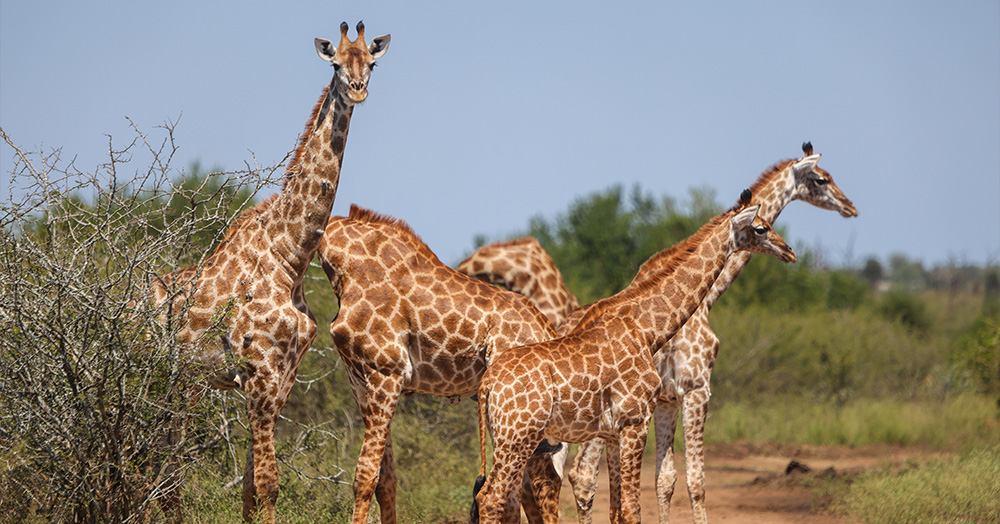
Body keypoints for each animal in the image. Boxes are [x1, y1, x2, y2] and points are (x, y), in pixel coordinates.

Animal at [148, 22, 390, 520]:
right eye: (337, 64)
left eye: (372, 64)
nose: (357, 90)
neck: (289, 256)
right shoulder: (258, 374)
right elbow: (269, 483)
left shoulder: (281, 376)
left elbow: (248, 485)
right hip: (152, 377)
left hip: (183, 385)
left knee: (165, 472)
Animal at [320, 204, 568, 524]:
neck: (345, 263)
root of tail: (549, 330)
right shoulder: (360, 380)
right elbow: (386, 480)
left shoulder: (387, 371)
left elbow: (365, 476)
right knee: (522, 491)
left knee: (537, 482)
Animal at [468, 189, 796, 524]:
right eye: (761, 228)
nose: (789, 251)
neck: (648, 329)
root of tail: (488, 384)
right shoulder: (635, 420)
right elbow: (632, 508)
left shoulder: (613, 433)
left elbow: (618, 508)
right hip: (519, 437)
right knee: (493, 498)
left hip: (504, 436)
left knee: (490, 495)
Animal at [568, 141, 856, 520]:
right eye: (822, 179)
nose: (850, 207)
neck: (707, 299)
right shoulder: (696, 389)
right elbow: (696, 482)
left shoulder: (667, 400)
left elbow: (665, 480)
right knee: (582, 476)